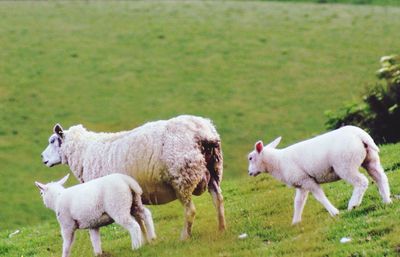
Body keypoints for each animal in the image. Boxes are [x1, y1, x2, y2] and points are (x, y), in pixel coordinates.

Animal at [43, 114, 228, 238]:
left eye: (52, 141)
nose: (42, 158)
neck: (83, 153)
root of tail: (203, 131)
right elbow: (139, 221)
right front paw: (146, 241)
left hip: (182, 177)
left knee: (190, 211)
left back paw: (185, 237)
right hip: (213, 170)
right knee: (218, 200)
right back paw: (221, 228)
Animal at [247, 125, 390, 223]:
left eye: (250, 158)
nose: (249, 173)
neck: (278, 163)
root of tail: (360, 135)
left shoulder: (307, 180)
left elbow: (320, 197)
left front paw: (334, 212)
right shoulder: (301, 182)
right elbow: (298, 202)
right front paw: (295, 222)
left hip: (345, 165)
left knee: (362, 182)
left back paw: (353, 205)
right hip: (370, 158)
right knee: (380, 177)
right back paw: (387, 200)